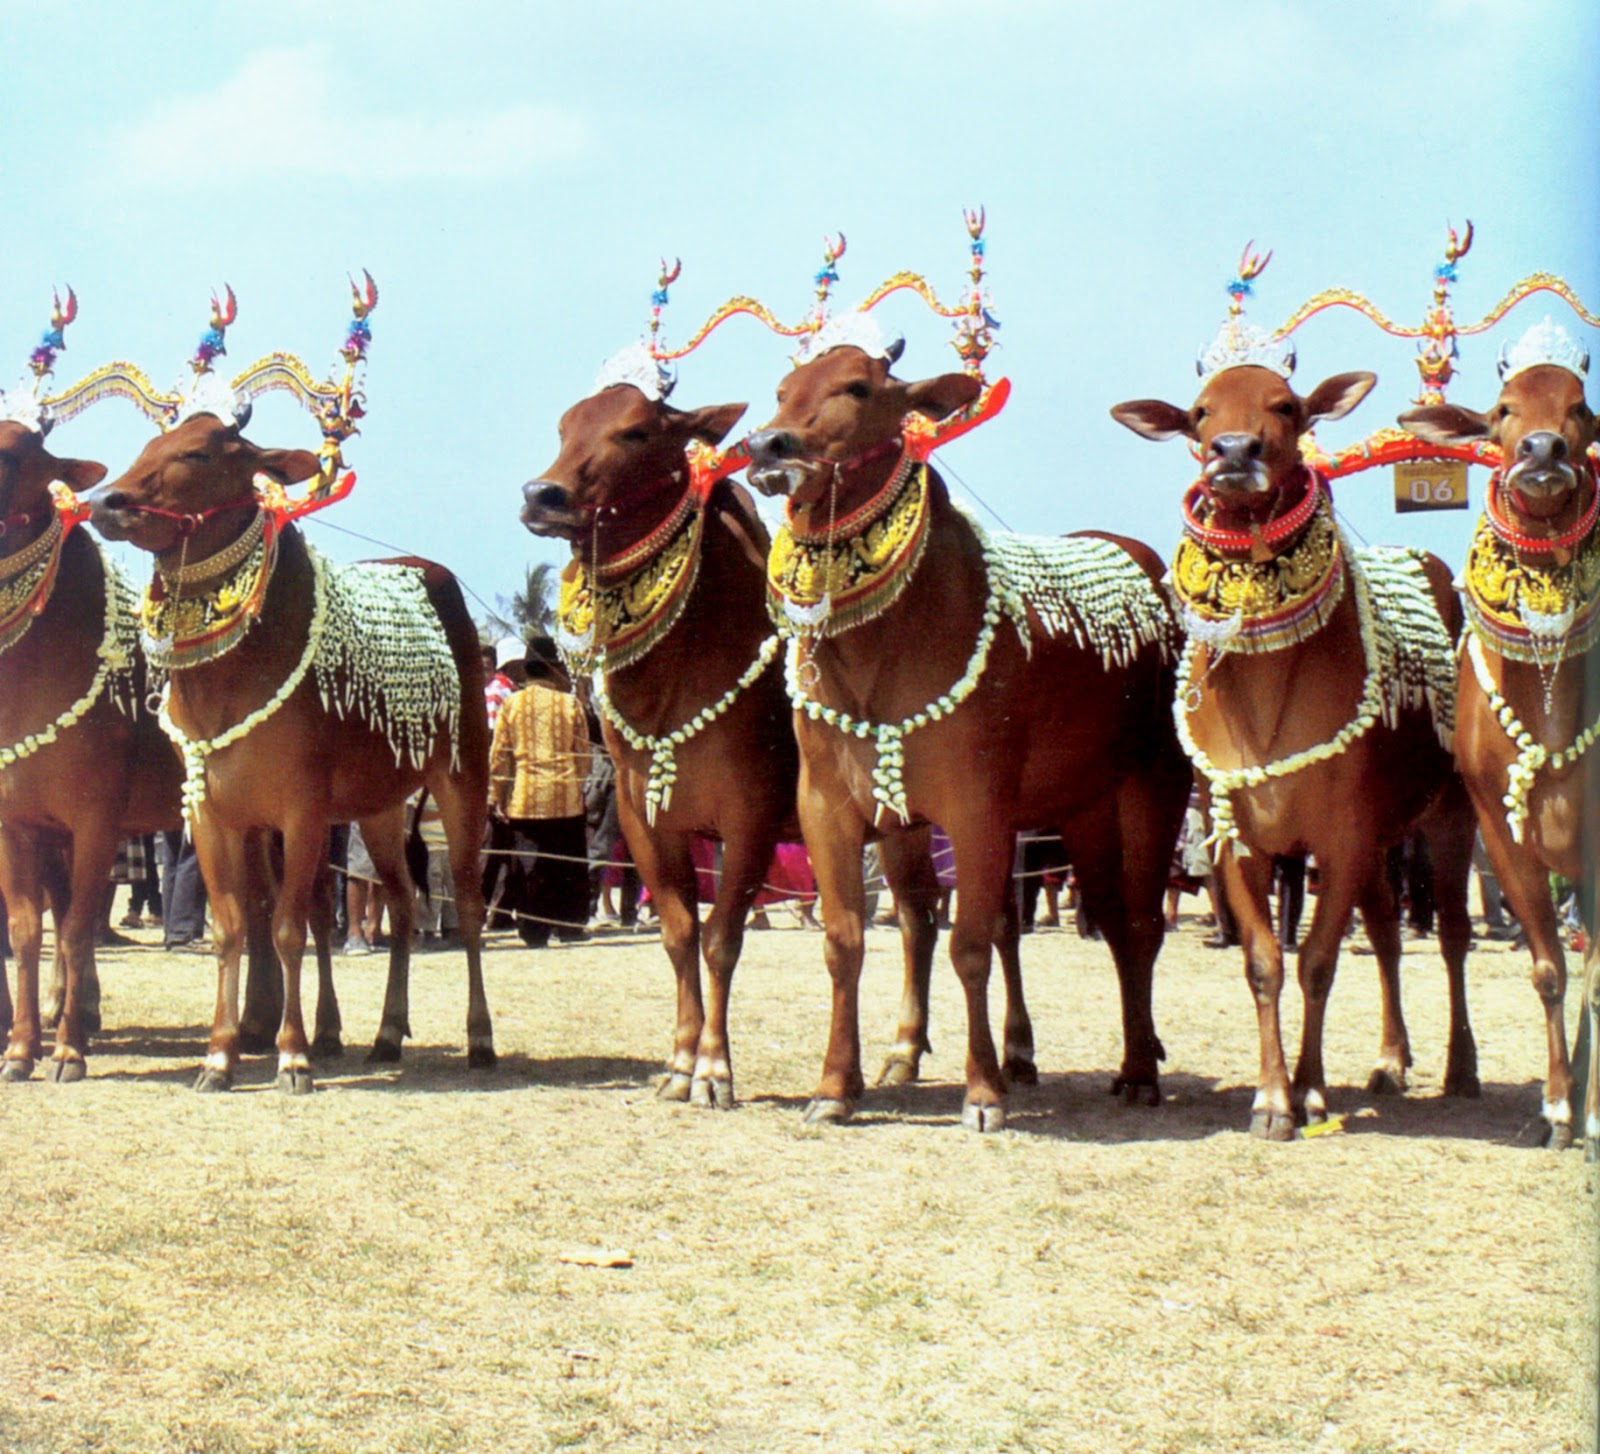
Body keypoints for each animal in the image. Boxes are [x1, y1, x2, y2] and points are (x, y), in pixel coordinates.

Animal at [81, 407, 489, 1087]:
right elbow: (232, 930)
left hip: (463, 784)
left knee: (473, 904)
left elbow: (288, 929)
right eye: (148, 445)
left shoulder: (300, 815)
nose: (105, 502)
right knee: (404, 906)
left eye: (198, 453)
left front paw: (293, 1053)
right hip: (379, 810)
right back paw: (386, 1033)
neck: (231, 671)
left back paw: (481, 1038)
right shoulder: (214, 815)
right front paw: (220, 1055)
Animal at [739, 331, 1190, 1132]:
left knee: (1137, 925)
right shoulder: (839, 808)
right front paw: (837, 1084)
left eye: (859, 387)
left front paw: (982, 1092)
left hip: (1151, 792)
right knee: (1091, 919)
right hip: (1077, 812)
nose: (770, 444)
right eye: (784, 389)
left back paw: (1137, 1068)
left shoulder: (976, 808)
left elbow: (972, 943)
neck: (882, 637)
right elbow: (851, 940)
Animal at [1113, 356, 1472, 1138]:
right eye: (1200, 412)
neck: (1267, 686)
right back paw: (1391, 1058)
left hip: (1450, 816)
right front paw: (1273, 1097)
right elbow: (1265, 963)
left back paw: (1461, 1068)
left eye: (1285, 405)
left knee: (1454, 934)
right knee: (1389, 934)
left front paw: (1308, 1090)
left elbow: (1316, 962)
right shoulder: (1237, 837)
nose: (1234, 452)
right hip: (1382, 841)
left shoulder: (1339, 835)